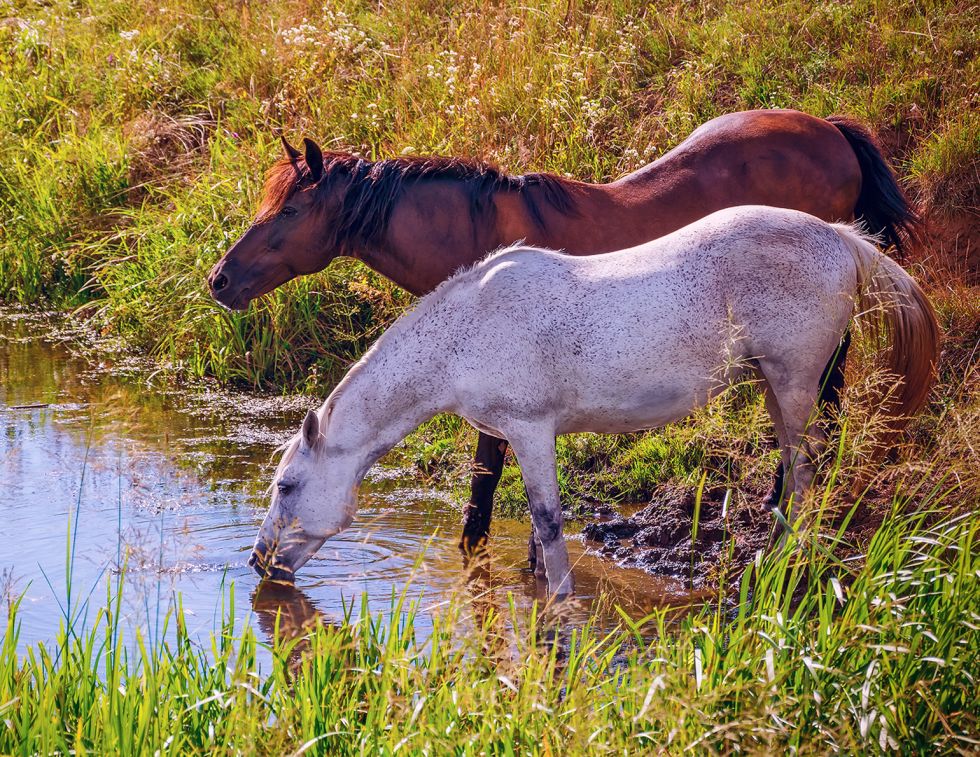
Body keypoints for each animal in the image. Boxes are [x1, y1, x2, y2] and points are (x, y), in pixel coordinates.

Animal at [208, 109, 918, 559]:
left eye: (290, 210)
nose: (220, 280)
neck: (476, 234)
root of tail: (830, 131)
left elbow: (485, 488)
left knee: (816, 416)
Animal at [247, 205, 939, 596]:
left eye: (286, 486)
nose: (258, 562)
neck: (467, 331)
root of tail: (840, 237)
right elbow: (536, 528)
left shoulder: (529, 431)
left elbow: (549, 521)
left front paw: (560, 598)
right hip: (773, 382)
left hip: (793, 381)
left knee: (804, 468)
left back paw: (788, 559)